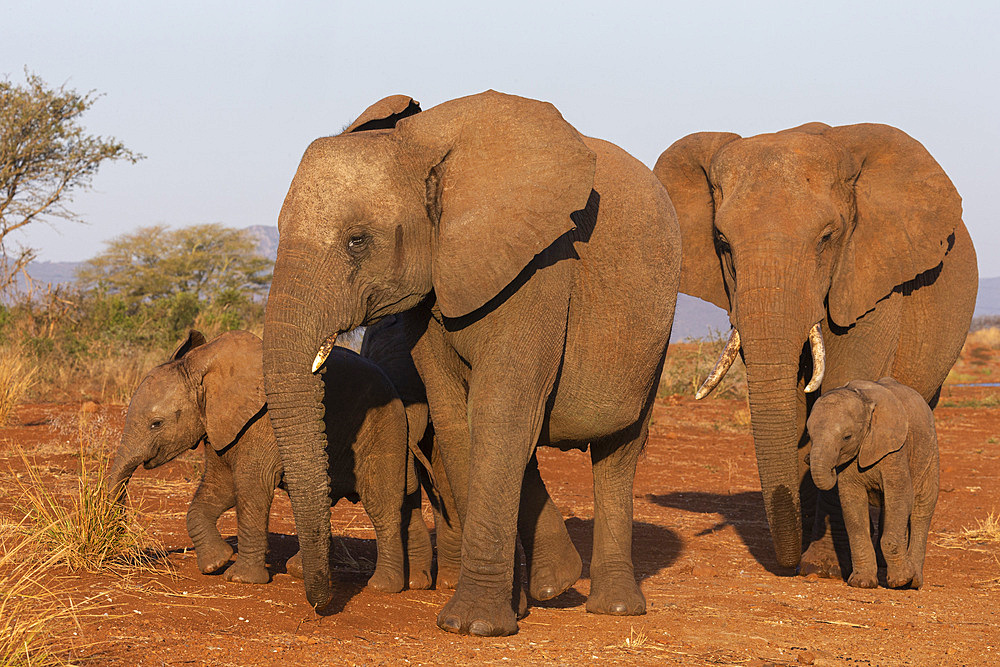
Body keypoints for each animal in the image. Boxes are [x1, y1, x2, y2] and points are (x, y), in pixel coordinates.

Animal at [108, 328, 430, 588]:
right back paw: (416, 582)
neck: (205, 365)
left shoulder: (263, 425)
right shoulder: (219, 425)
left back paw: (383, 586)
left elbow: (251, 487)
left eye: (156, 424)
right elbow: (218, 488)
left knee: (381, 504)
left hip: (382, 430)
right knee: (406, 502)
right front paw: (216, 562)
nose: (117, 537)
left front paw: (240, 578)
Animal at [262, 90, 680, 636]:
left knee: (618, 451)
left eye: (357, 241)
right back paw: (555, 583)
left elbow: (501, 411)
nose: (320, 604)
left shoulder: (543, 265)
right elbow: (459, 419)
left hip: (656, 332)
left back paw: (613, 608)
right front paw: (513, 610)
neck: (423, 144)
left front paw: (473, 627)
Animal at [804, 378, 936, 592]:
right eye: (809, 434)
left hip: (929, 453)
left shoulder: (894, 450)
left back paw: (914, 582)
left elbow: (900, 497)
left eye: (847, 437)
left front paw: (901, 580)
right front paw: (862, 583)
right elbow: (852, 504)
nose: (807, 459)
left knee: (922, 510)